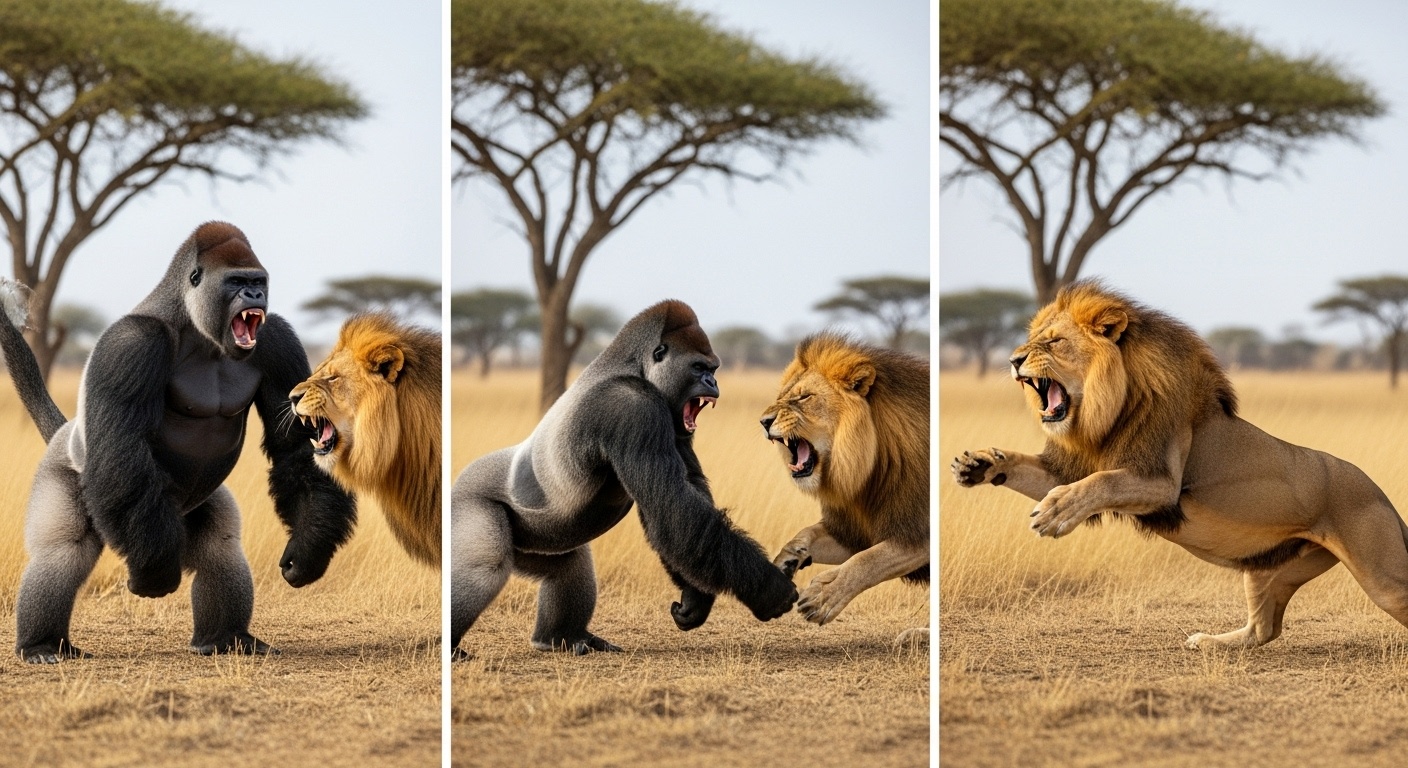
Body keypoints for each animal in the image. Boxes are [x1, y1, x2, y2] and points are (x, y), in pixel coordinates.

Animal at [2, 222, 357, 663]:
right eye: (236, 282)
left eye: (258, 283)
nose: (254, 297)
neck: (196, 326)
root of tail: (64, 434)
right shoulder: (131, 343)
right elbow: (122, 447)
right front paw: (153, 575)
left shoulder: (278, 339)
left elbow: (296, 446)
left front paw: (309, 547)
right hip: (69, 473)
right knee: (64, 548)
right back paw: (42, 644)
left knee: (219, 544)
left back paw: (225, 637)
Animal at [450, 300, 798, 658]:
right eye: (699, 367)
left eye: (713, 370)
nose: (714, 384)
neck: (635, 367)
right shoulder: (634, 406)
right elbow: (672, 510)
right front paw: (769, 588)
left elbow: (683, 506)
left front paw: (697, 598)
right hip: (468, 499)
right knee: (486, 566)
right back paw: (449, 646)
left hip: (538, 540)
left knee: (569, 565)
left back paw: (561, 637)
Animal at [760, 333, 930, 634]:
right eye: (781, 397)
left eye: (804, 396)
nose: (764, 421)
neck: (867, 471)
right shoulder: (853, 532)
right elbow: (806, 534)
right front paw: (787, 561)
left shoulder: (917, 532)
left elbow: (869, 561)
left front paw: (823, 597)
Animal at [952, 279, 1408, 649]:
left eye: (1054, 342)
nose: (1013, 360)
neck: (1105, 412)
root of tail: (1382, 495)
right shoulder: (1070, 468)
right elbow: (1032, 466)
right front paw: (980, 464)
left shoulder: (1160, 483)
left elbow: (1101, 482)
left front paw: (1055, 512)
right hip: (1267, 568)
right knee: (1265, 630)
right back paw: (1211, 642)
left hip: (1382, 575)